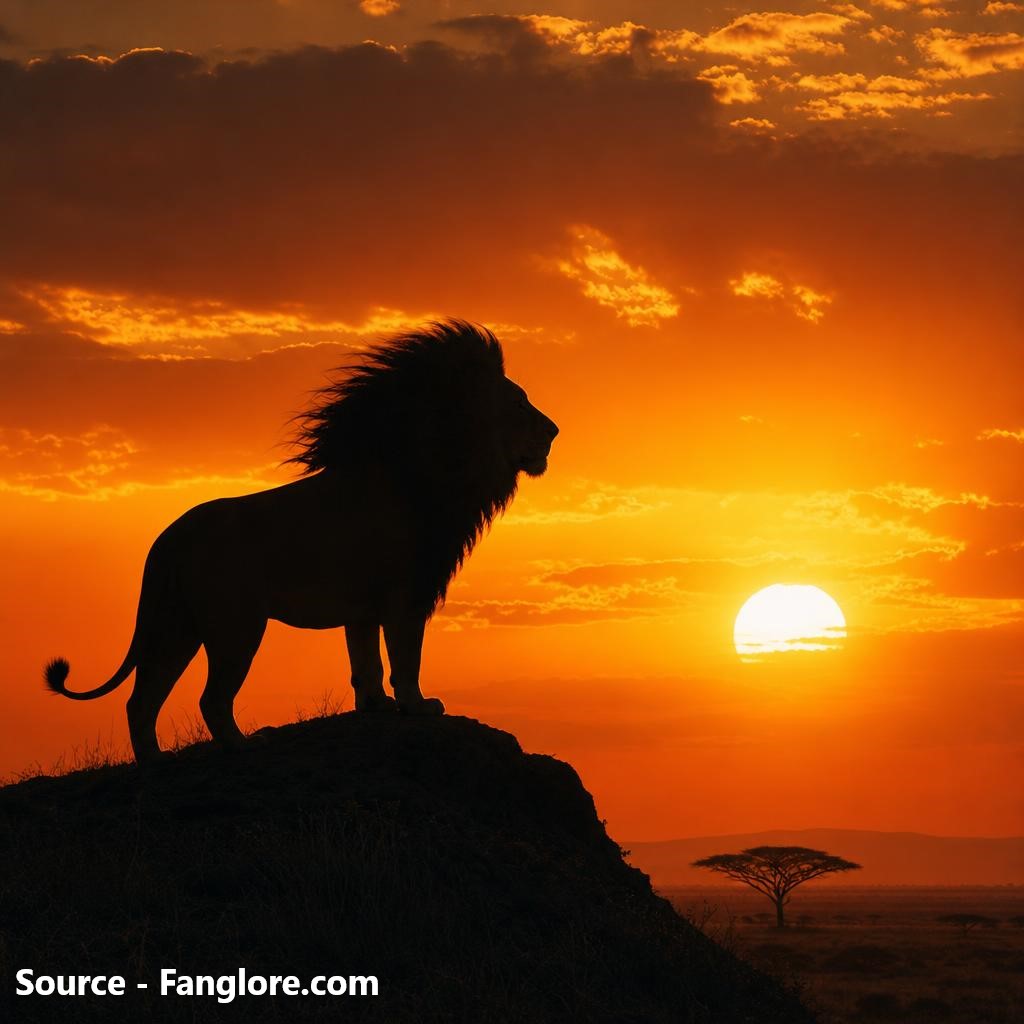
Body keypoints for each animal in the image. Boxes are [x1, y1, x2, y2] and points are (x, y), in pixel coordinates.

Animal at [44, 320, 558, 763]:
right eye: (519, 403)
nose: (555, 430)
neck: (438, 465)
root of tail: (168, 539)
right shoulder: (406, 596)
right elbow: (405, 659)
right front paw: (417, 706)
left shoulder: (364, 606)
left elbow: (366, 661)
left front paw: (376, 705)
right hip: (236, 626)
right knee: (210, 699)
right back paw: (243, 746)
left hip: (177, 626)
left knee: (142, 700)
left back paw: (155, 763)